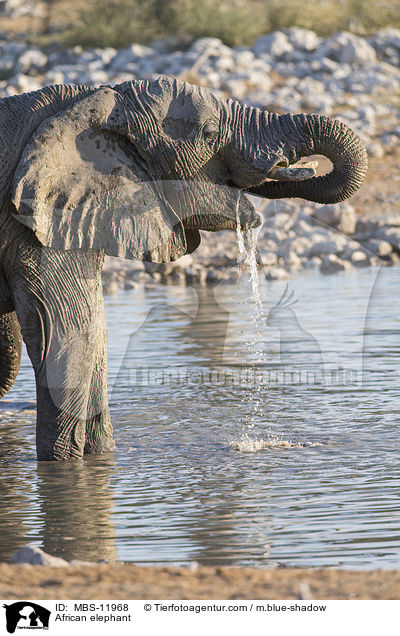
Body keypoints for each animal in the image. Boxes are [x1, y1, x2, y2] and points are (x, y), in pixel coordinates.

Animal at [0, 77, 368, 460]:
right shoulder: (35, 221)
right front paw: (66, 465)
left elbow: (95, 335)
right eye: (209, 134)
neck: (93, 98)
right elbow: (73, 334)